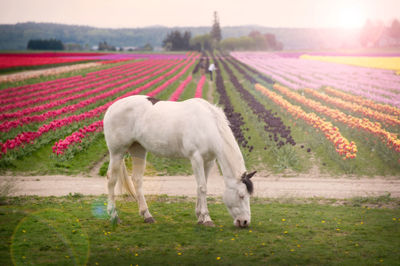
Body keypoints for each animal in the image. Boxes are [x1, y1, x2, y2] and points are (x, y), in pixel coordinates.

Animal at [101, 94, 255, 228]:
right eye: (241, 195)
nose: (245, 222)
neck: (208, 125)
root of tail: (112, 107)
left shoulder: (209, 161)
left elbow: (200, 186)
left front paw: (199, 217)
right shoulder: (196, 158)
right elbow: (202, 187)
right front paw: (206, 218)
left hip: (138, 149)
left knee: (137, 180)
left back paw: (147, 215)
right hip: (117, 152)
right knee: (111, 179)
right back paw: (114, 215)